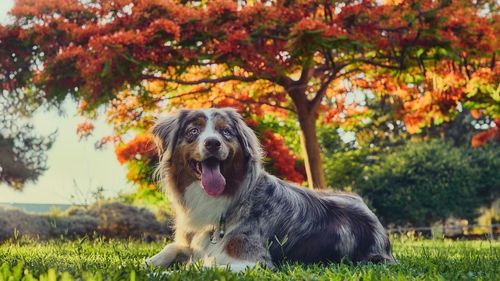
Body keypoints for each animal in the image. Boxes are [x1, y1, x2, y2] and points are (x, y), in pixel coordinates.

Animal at [146, 107, 396, 272]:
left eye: (226, 132)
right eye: (193, 131)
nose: (212, 143)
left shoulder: (253, 262)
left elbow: (204, 268)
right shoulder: (190, 241)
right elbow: (169, 250)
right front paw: (149, 264)